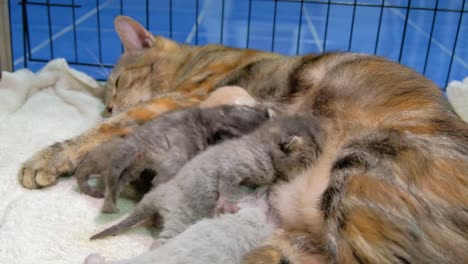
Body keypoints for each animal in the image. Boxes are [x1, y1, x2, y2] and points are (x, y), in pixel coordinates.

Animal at [74, 104, 268, 213]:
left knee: (115, 186)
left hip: (131, 168)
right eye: (247, 109)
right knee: (156, 182)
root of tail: (138, 141)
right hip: (171, 163)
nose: (267, 112)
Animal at [90, 115, 326, 245]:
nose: (316, 171)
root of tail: (157, 196)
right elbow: (228, 184)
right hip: (178, 220)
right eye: (309, 160)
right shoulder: (235, 166)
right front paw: (227, 203)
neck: (262, 145)